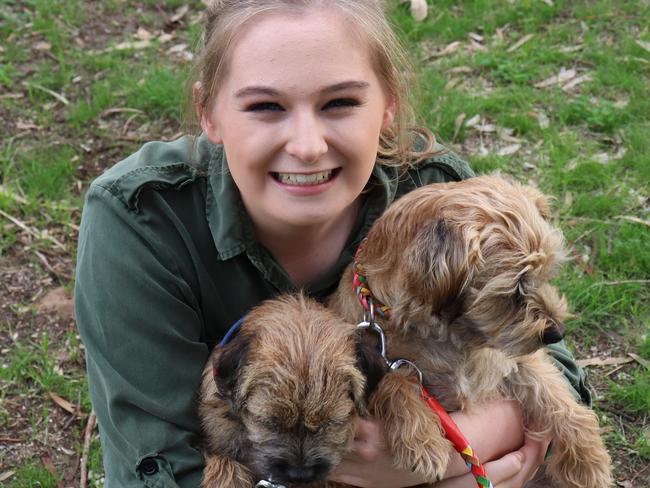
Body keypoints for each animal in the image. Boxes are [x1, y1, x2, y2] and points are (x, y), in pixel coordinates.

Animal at [330, 174, 612, 488]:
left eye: (544, 276)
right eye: (515, 291)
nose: (557, 333)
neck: (453, 338)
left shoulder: (513, 361)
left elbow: (554, 395)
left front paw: (588, 460)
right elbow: (394, 380)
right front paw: (422, 440)